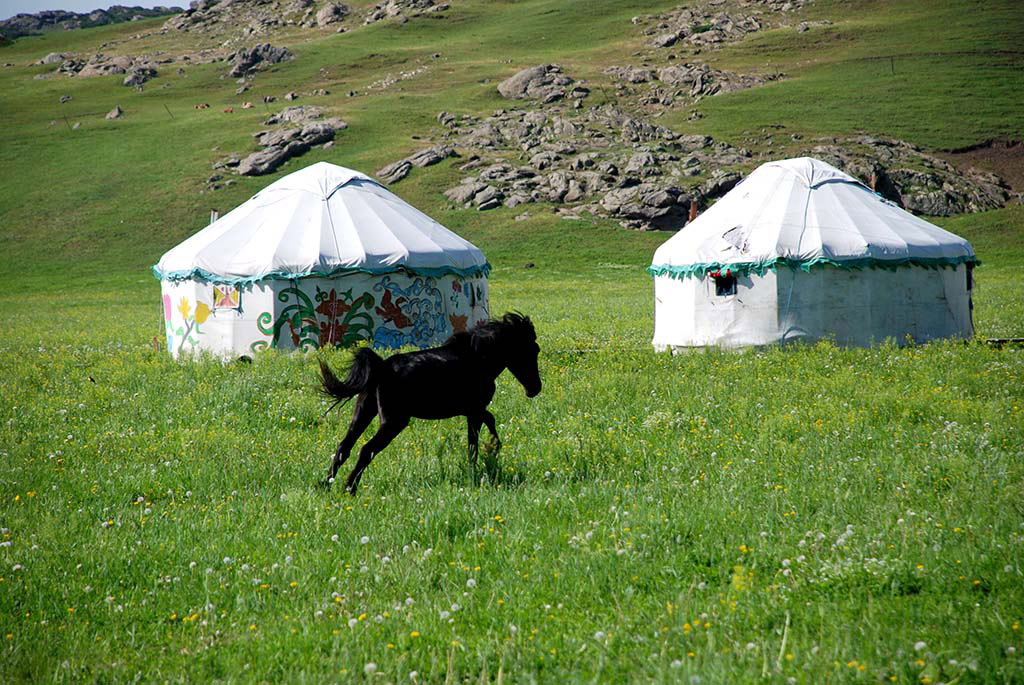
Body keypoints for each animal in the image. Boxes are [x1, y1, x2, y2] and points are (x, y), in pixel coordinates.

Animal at [319, 309, 544, 491]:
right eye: (533, 350)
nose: (535, 388)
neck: (476, 358)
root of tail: (381, 367)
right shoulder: (474, 411)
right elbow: (474, 444)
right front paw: (484, 460)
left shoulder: (473, 411)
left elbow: (489, 423)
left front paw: (492, 450)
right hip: (393, 422)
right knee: (366, 450)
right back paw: (350, 488)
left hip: (364, 412)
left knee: (344, 448)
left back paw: (326, 484)